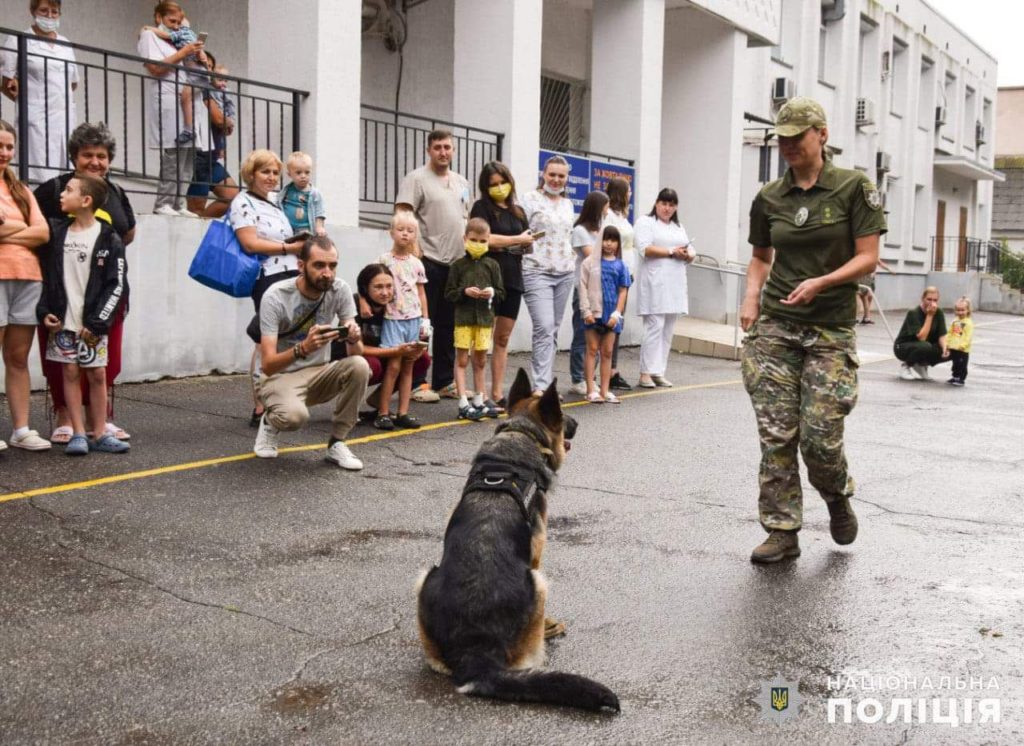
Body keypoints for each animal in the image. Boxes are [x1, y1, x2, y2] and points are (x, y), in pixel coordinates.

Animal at [413, 370, 618, 712]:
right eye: (562, 413)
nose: (577, 422)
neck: (523, 434)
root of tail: (475, 652)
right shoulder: (537, 553)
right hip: (538, 582)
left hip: (425, 576)